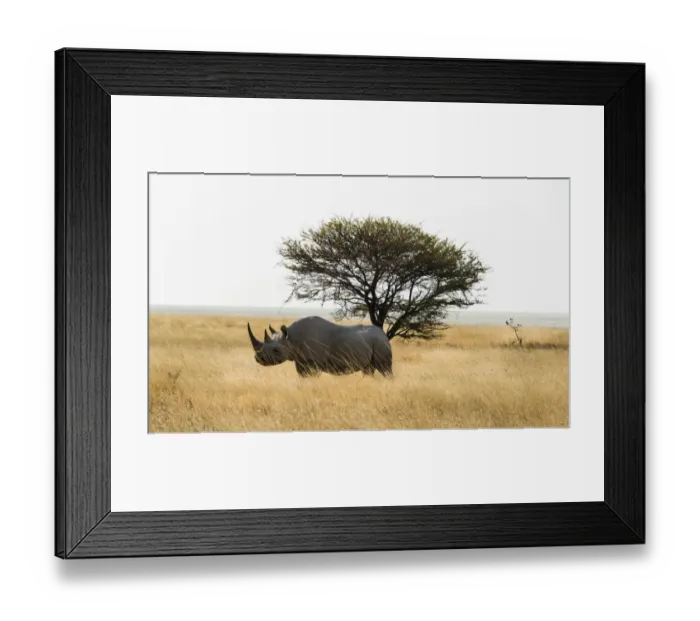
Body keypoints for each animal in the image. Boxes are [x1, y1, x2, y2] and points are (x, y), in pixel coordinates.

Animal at [247, 316, 393, 377]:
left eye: (276, 350)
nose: (258, 359)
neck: (291, 338)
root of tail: (383, 334)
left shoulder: (314, 362)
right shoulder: (301, 360)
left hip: (380, 344)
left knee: (385, 369)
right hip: (374, 343)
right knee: (368, 369)